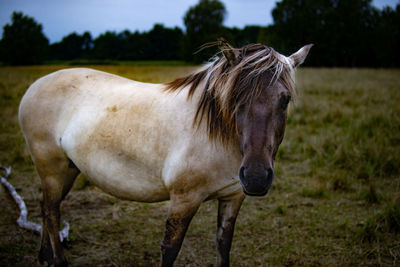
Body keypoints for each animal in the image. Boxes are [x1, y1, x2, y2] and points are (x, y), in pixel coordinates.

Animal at [18, 38, 312, 266]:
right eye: (236, 99)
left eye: (285, 100)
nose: (256, 178)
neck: (217, 137)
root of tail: (36, 84)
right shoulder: (183, 200)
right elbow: (170, 250)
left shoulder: (232, 198)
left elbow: (223, 246)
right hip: (52, 168)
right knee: (52, 212)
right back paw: (57, 261)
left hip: (69, 169)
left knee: (47, 206)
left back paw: (44, 257)